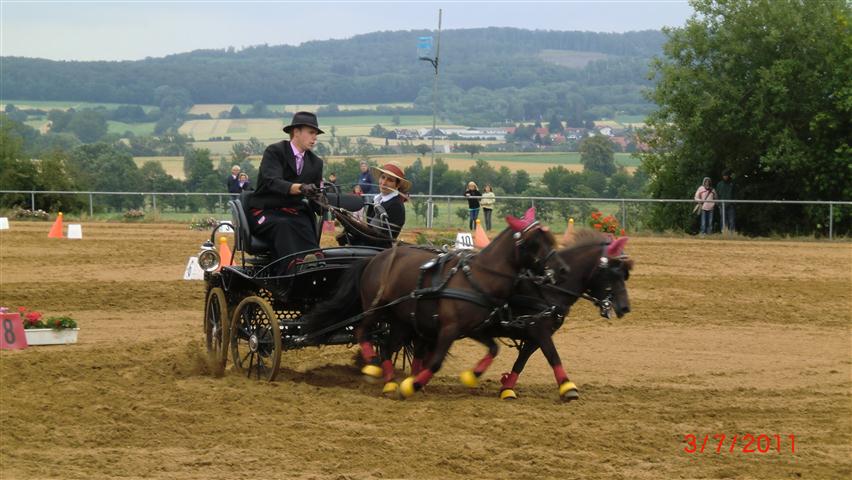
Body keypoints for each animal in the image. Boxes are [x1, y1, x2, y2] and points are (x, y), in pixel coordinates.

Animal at [305, 207, 558, 398]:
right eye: (534, 242)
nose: (554, 271)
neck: (476, 278)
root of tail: (373, 258)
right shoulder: (449, 327)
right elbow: (435, 362)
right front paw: (412, 385)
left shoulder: (473, 329)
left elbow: (493, 349)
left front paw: (471, 376)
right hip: (375, 308)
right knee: (362, 331)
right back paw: (371, 367)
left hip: (400, 320)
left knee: (386, 345)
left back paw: (389, 381)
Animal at [445, 231, 633, 401]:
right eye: (613, 273)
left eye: (625, 275)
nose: (625, 307)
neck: (548, 289)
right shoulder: (539, 330)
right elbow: (553, 356)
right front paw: (567, 387)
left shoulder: (535, 337)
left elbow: (521, 362)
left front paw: (507, 389)